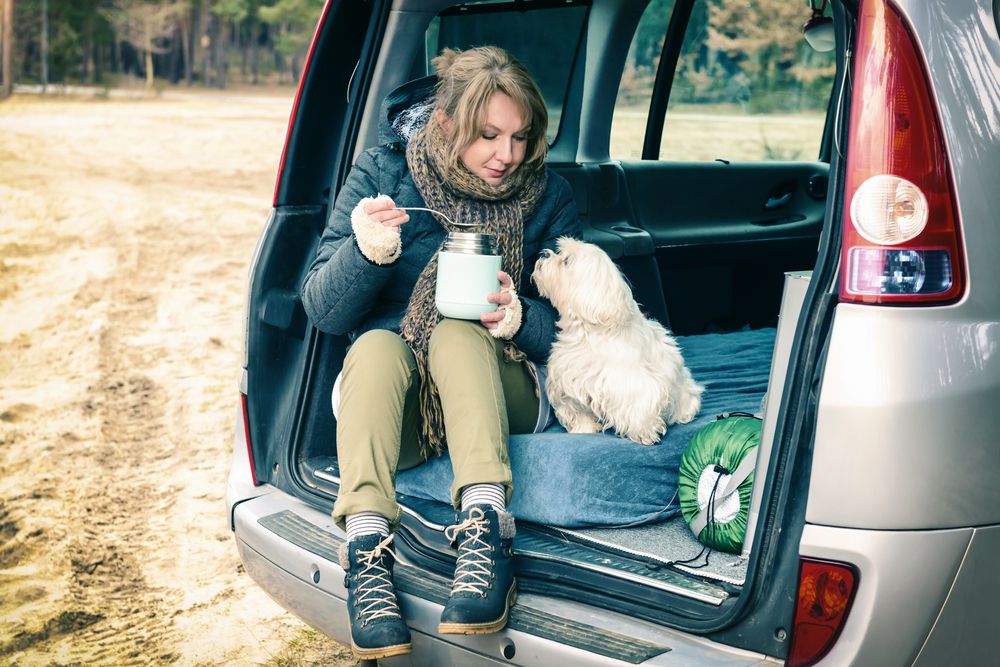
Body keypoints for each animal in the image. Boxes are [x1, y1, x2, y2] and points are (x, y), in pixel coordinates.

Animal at [532, 237, 704, 446]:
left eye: (566, 260)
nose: (543, 254)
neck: (588, 332)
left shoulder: (632, 384)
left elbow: (638, 408)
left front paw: (644, 433)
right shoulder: (570, 381)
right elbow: (578, 411)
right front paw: (584, 429)